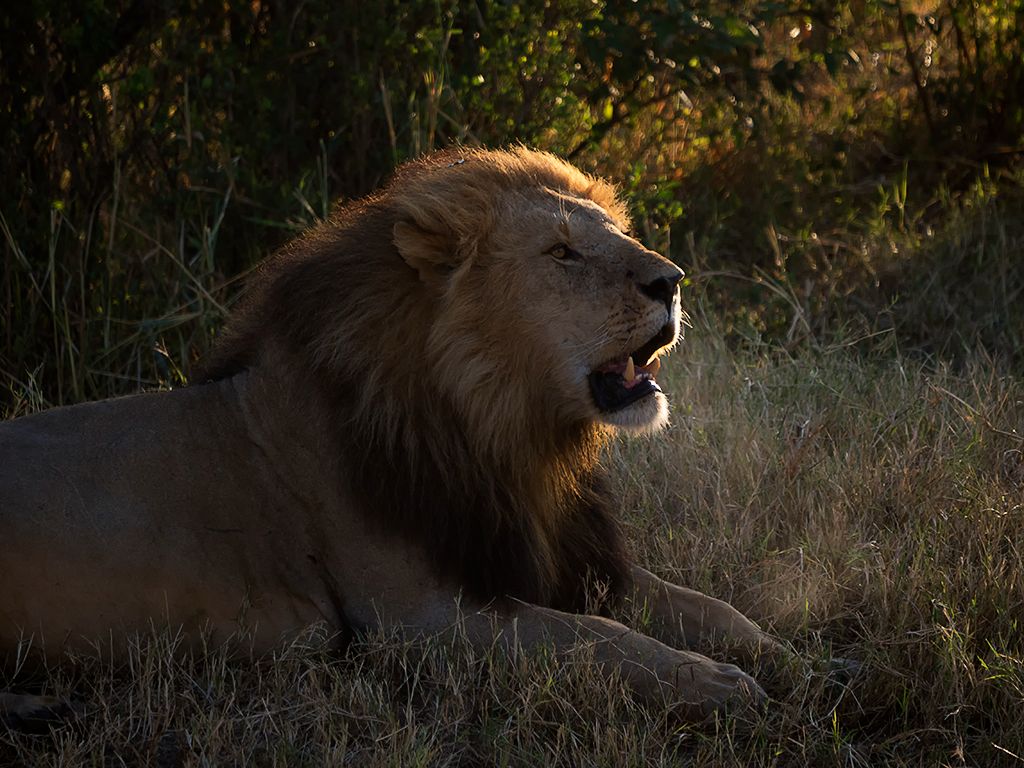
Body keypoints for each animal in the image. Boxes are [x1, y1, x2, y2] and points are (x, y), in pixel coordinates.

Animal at [0, 147, 791, 725]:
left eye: (616, 234)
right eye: (562, 253)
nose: (673, 280)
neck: (507, 435)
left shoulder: (552, 555)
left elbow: (695, 603)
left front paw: (773, 649)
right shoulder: (414, 617)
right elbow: (595, 638)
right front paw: (720, 685)